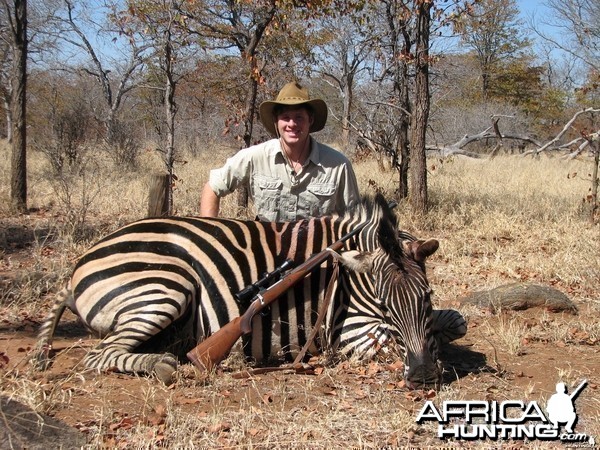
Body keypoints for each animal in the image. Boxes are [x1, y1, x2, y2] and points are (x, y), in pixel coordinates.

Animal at [32, 195, 466, 388]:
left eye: (426, 298)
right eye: (385, 304)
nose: (424, 376)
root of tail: (78, 265)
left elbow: (456, 321)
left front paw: (446, 335)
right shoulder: (349, 332)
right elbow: (386, 342)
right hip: (166, 288)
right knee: (99, 355)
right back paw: (163, 365)